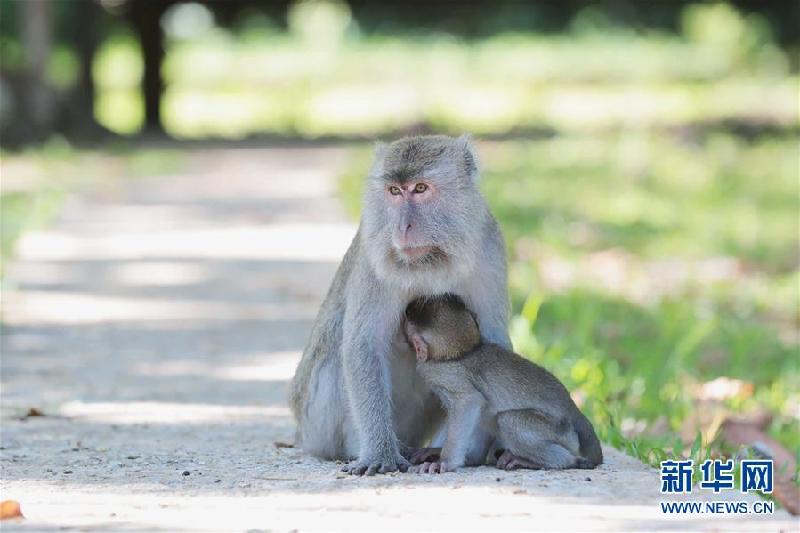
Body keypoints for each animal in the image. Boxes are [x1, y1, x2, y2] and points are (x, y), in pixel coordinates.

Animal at [290, 135, 512, 476]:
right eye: (394, 191)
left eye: (420, 188)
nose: (402, 227)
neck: (431, 262)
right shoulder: (375, 258)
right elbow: (363, 346)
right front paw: (380, 454)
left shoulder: (489, 249)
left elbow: (490, 344)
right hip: (317, 422)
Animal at [406, 294, 600, 472]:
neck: (464, 353)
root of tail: (575, 411)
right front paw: (438, 452)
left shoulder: (438, 373)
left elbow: (469, 401)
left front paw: (445, 462)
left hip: (561, 432)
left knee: (508, 420)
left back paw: (558, 461)